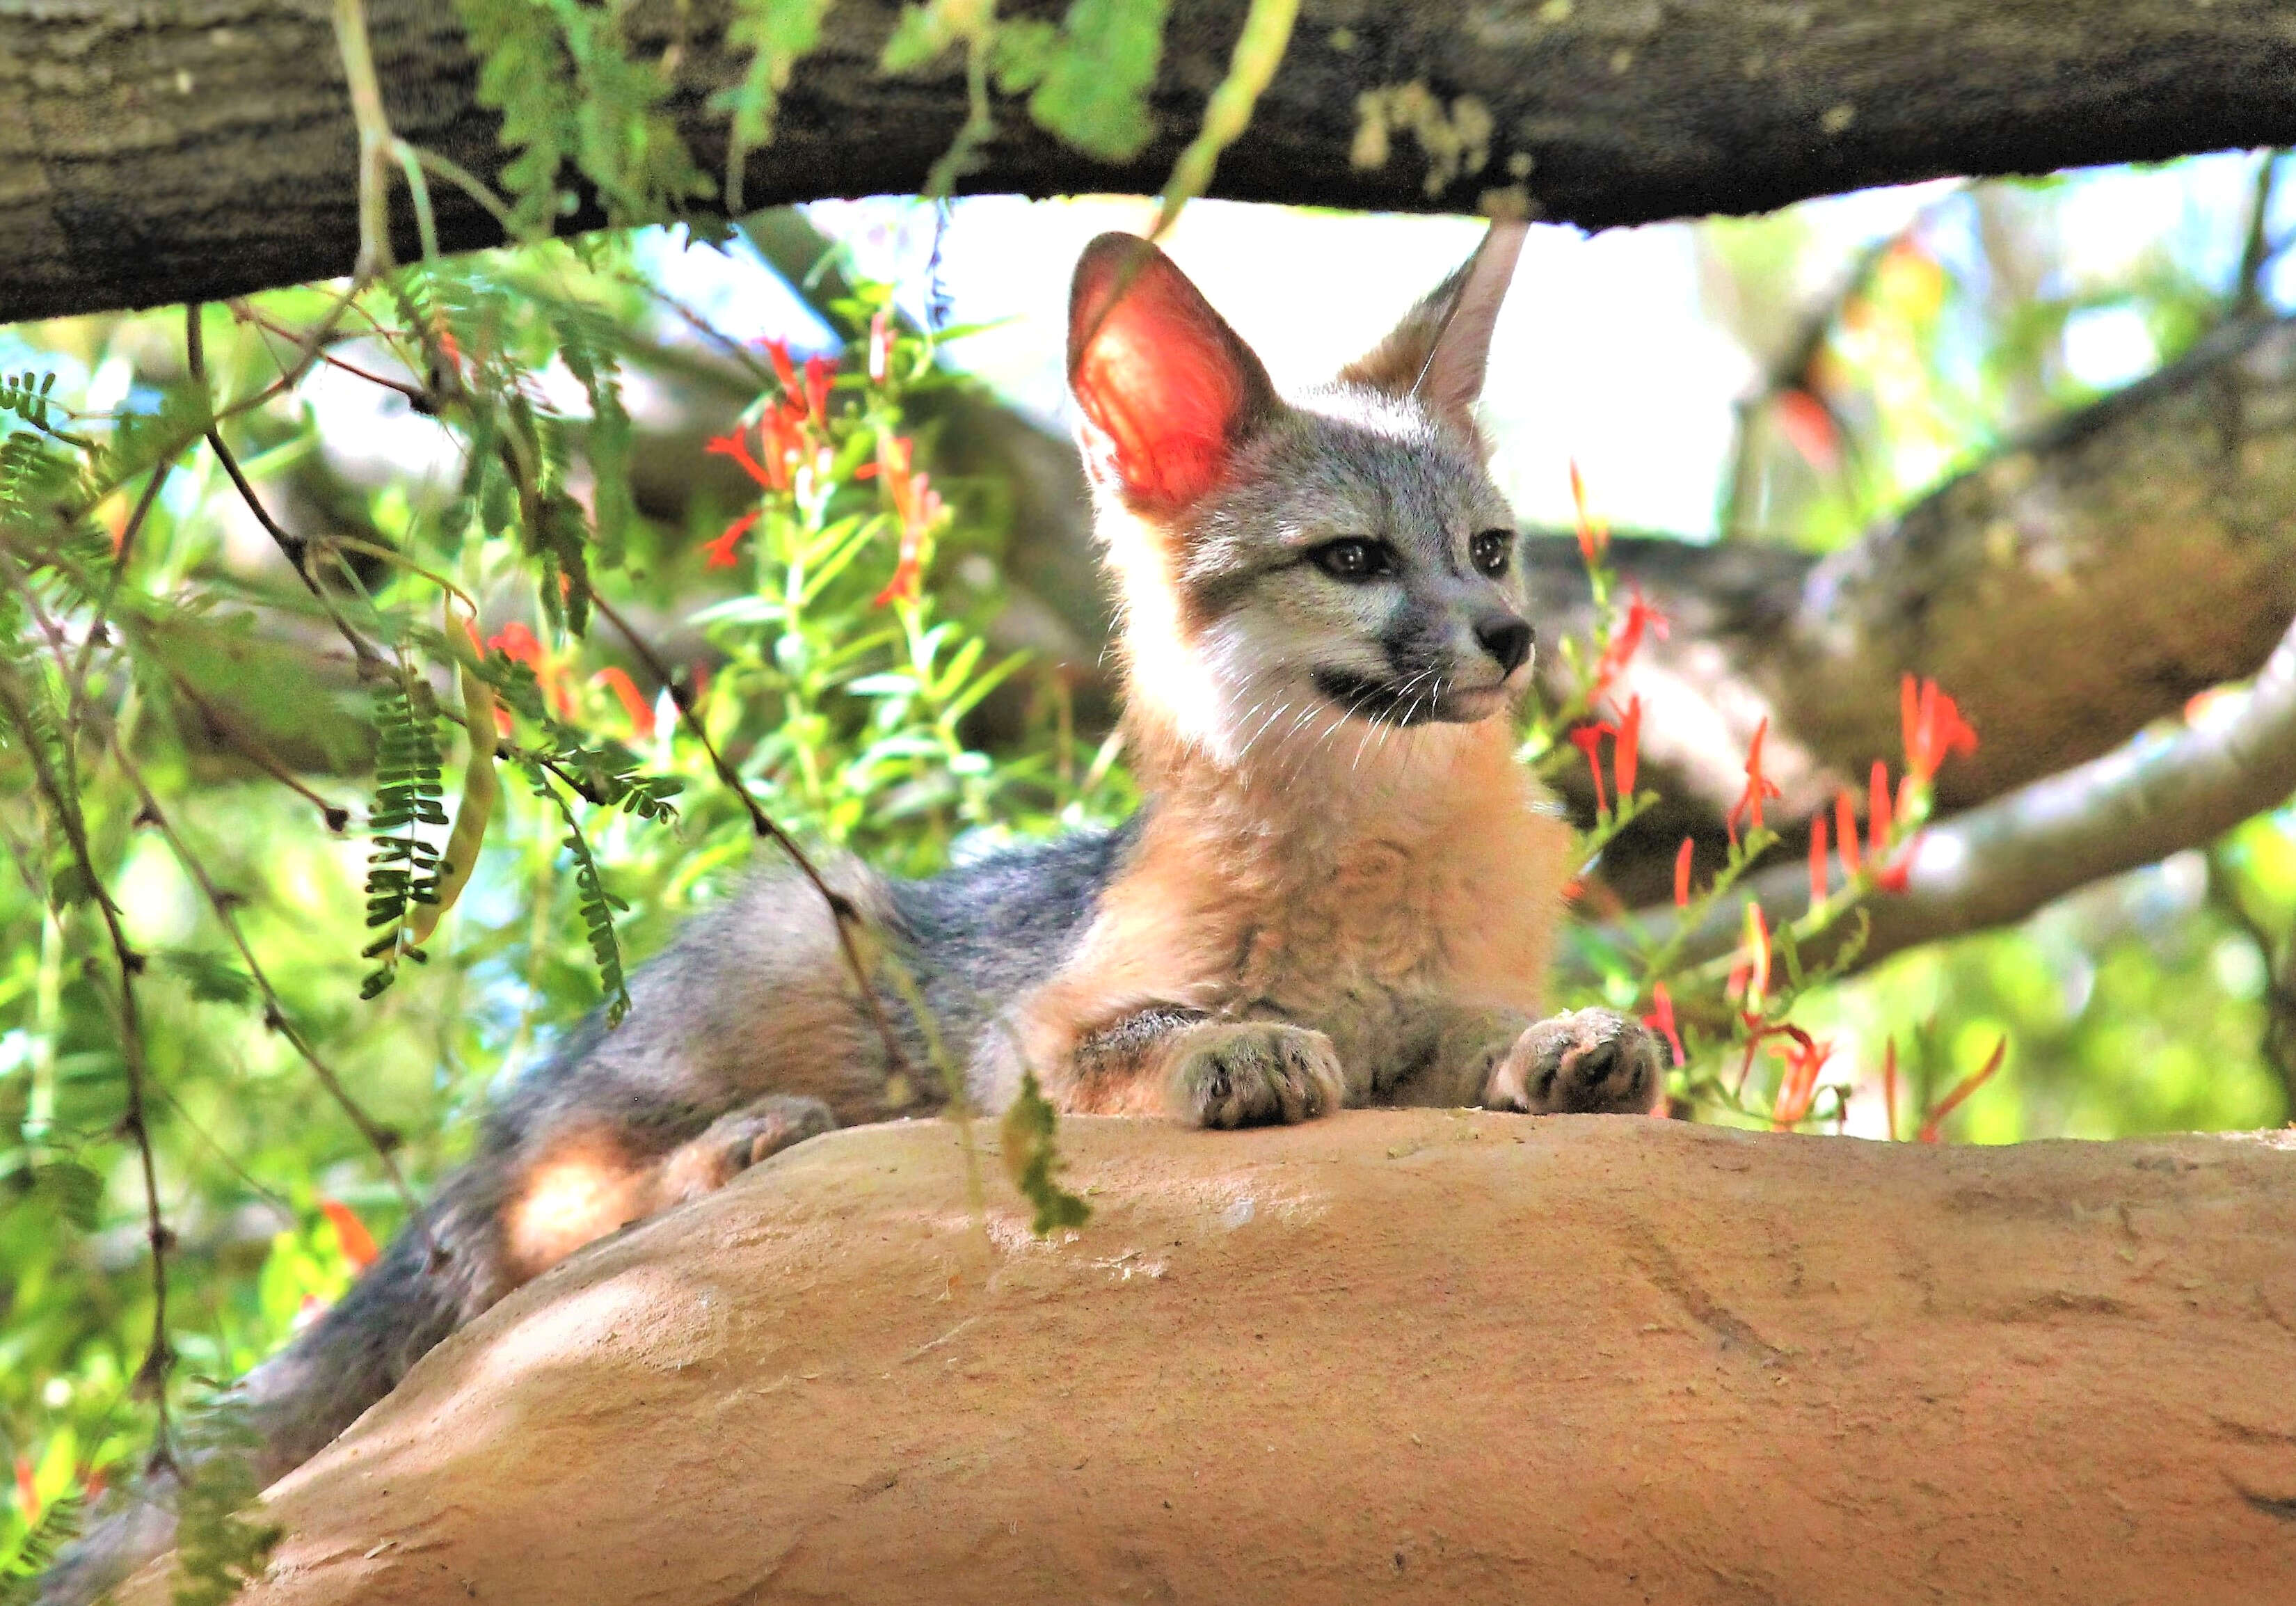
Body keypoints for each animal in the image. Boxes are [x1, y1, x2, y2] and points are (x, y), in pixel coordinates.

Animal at [35, 219, 1653, 1599]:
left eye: (1490, 548)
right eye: (1355, 559)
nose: (1513, 636)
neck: (1371, 860)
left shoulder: (1431, 1006)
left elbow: (1465, 1043)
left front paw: (1568, 1047)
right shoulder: (1025, 1041)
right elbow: (1148, 1030)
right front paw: (1236, 1047)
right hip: (805, 944)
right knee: (514, 1235)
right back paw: (733, 1146)